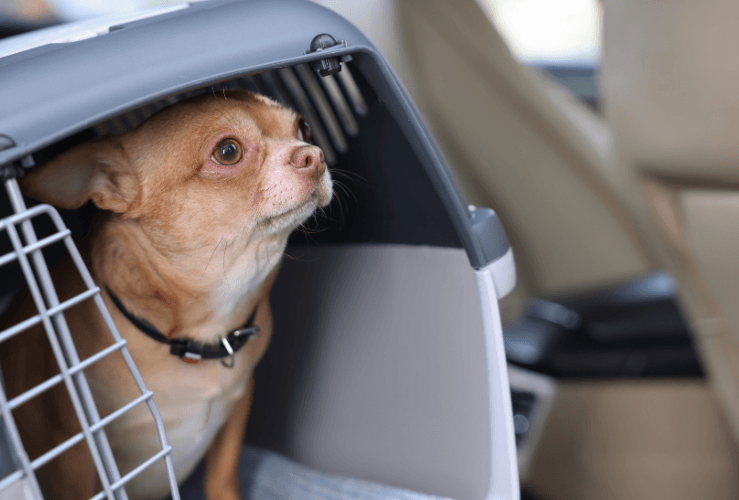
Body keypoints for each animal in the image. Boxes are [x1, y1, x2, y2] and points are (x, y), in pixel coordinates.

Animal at [0, 90, 332, 500]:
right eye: (227, 151)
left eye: (303, 127)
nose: (314, 154)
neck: (200, 334)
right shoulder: (77, 455)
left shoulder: (239, 403)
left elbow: (222, 475)